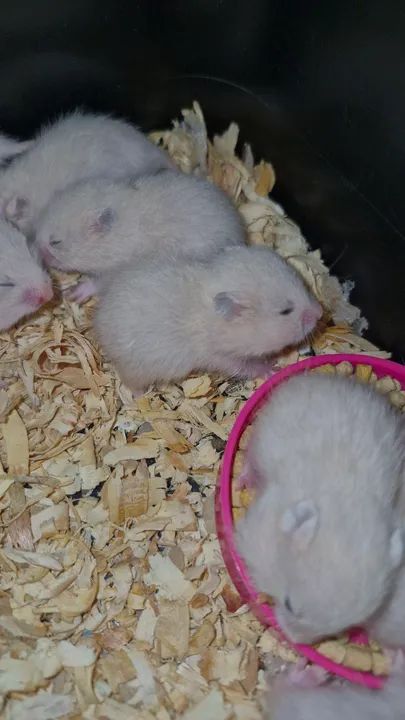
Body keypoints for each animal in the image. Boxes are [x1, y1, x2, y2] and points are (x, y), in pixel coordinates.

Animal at [93, 245, 322, 391]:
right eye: (285, 311)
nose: (321, 312)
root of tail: (98, 322)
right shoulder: (220, 357)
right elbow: (248, 366)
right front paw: (271, 368)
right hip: (136, 368)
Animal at [236, 373, 405, 644]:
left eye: (347, 624)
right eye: (289, 604)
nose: (295, 640)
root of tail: (316, 377)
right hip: (261, 439)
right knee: (250, 459)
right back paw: (243, 480)